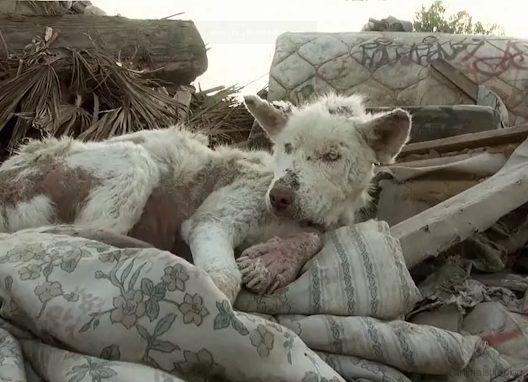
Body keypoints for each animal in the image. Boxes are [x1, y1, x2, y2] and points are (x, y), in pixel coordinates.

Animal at [0, 93, 410, 302]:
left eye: (332, 157)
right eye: (287, 147)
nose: (278, 196)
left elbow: (316, 238)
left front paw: (273, 262)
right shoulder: (212, 218)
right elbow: (222, 280)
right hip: (130, 165)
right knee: (79, 240)